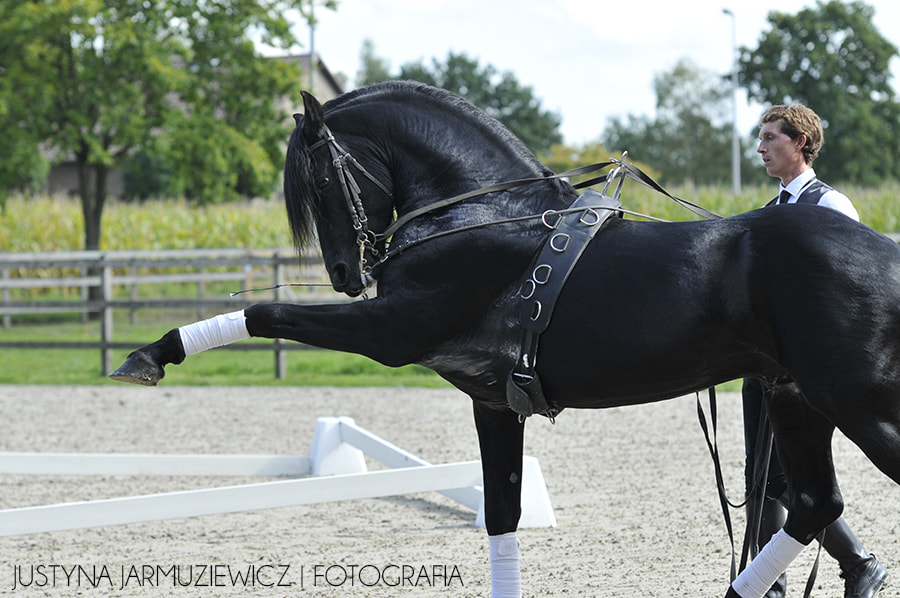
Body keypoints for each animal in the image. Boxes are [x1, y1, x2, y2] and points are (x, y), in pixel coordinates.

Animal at [109, 81, 900, 598]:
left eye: (321, 178)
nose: (344, 274)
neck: (483, 214)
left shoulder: (391, 330)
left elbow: (267, 312)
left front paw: (150, 354)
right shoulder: (494, 401)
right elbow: (501, 515)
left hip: (856, 404)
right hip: (796, 400)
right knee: (814, 505)